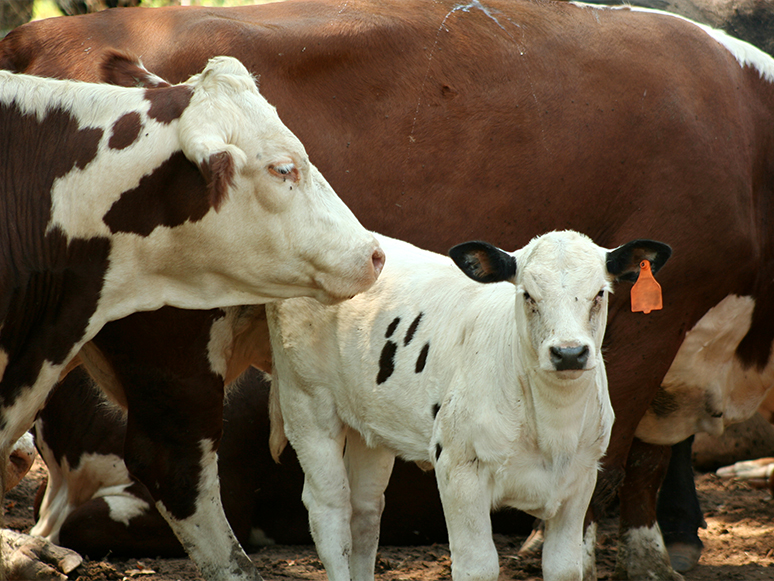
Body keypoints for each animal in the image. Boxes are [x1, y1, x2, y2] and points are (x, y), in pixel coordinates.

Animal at [270, 231, 668, 580]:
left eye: (599, 293)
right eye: (528, 295)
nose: (569, 353)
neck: (553, 425)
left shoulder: (581, 477)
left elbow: (564, 567)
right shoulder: (459, 468)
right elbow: (477, 567)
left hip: (371, 427)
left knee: (365, 513)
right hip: (307, 404)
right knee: (330, 511)